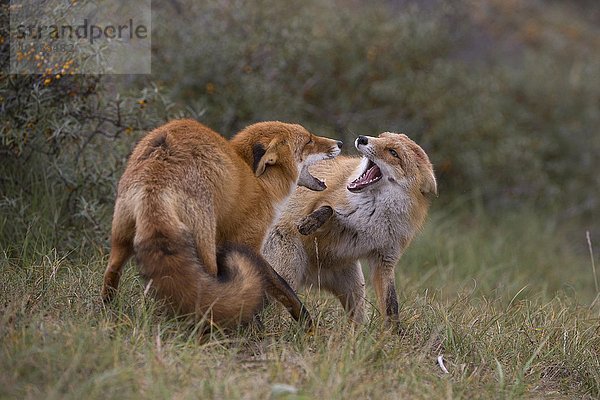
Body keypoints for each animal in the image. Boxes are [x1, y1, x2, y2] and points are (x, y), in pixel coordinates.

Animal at [101, 118, 340, 328]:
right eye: (309, 140)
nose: (340, 144)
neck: (260, 182)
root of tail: (157, 177)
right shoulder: (247, 243)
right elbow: (281, 285)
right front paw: (305, 325)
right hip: (205, 250)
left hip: (121, 239)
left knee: (111, 275)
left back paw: (109, 315)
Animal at [262, 133, 436, 330]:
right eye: (381, 137)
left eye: (393, 152)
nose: (362, 138)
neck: (375, 215)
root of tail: (310, 279)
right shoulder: (321, 206)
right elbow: (327, 208)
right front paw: (310, 222)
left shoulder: (385, 259)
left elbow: (391, 305)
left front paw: (394, 334)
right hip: (288, 272)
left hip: (355, 288)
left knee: (357, 320)